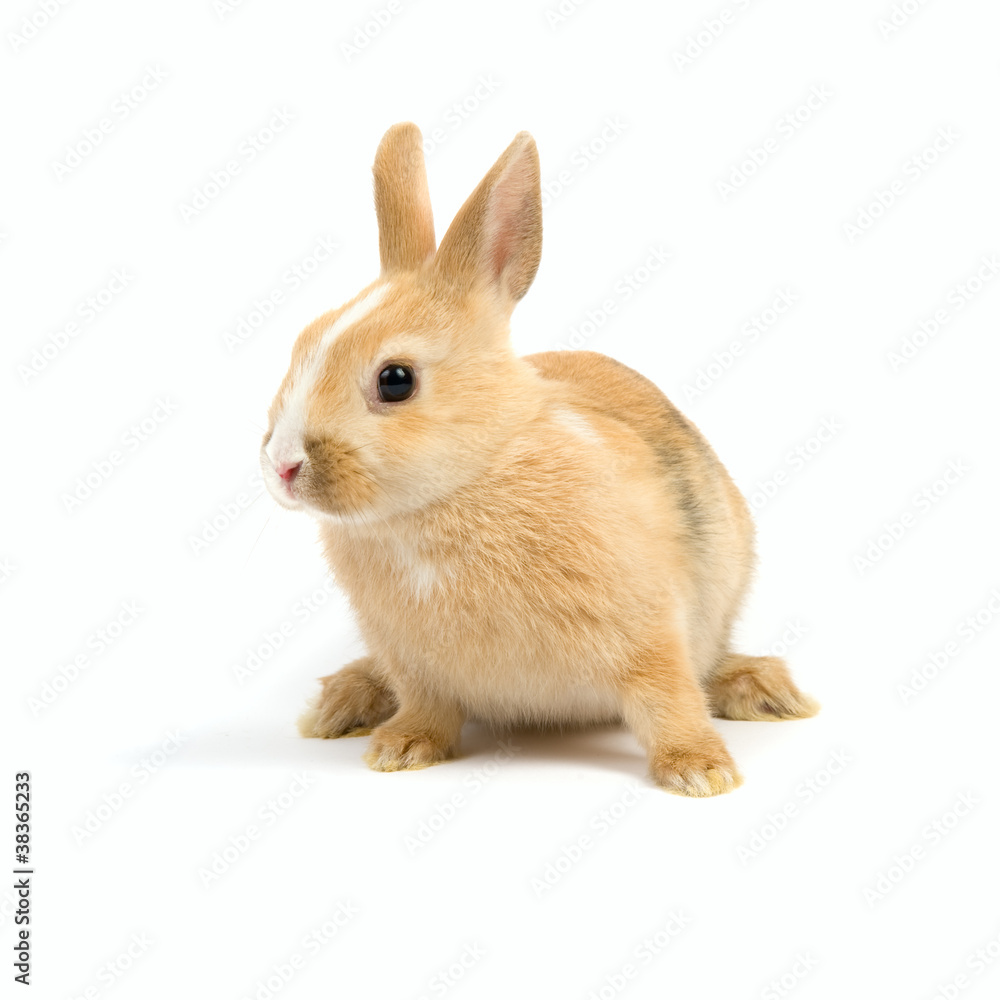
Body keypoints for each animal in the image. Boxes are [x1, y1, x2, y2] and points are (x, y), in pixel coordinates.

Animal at [260, 122, 818, 797]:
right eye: (301, 344)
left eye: (395, 381)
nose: (282, 466)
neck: (455, 490)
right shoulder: (414, 665)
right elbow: (425, 707)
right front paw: (401, 749)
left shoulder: (650, 632)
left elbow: (669, 700)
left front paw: (701, 773)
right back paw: (343, 702)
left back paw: (762, 689)